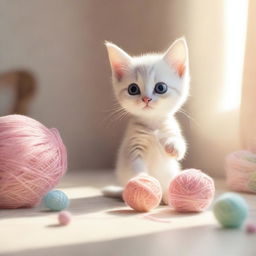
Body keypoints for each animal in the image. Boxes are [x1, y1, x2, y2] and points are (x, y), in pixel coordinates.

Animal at [103, 37, 189, 204]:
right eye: (133, 89)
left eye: (161, 87)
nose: (146, 99)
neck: (152, 125)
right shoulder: (133, 145)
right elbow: (135, 166)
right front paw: (142, 180)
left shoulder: (170, 128)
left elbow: (179, 142)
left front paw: (173, 146)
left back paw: (169, 197)